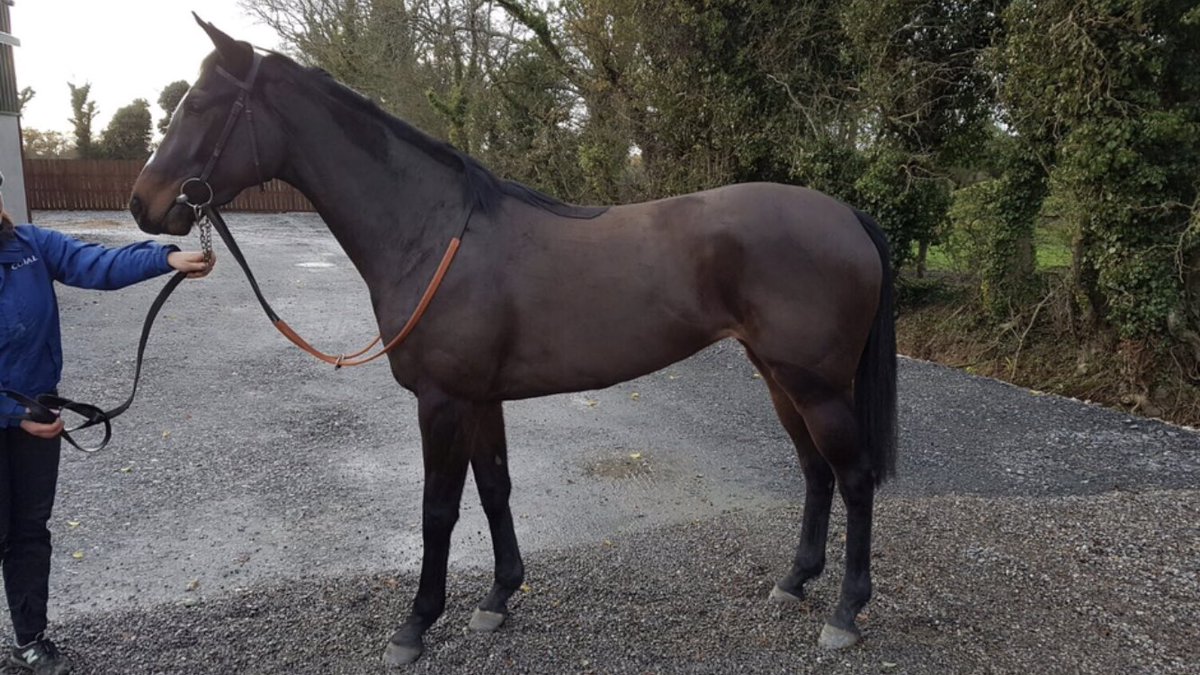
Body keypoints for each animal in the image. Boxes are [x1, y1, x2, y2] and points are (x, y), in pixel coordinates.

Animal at [130, 16, 898, 666]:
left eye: (200, 104)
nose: (145, 204)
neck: (433, 231)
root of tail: (847, 216)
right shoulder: (480, 398)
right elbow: (495, 486)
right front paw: (499, 597)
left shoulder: (441, 401)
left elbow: (438, 510)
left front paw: (415, 624)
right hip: (777, 375)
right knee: (816, 472)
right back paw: (794, 582)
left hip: (815, 384)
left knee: (854, 477)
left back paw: (846, 613)